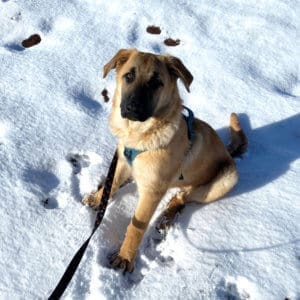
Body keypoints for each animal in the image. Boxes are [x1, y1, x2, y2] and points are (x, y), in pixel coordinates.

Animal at [82, 48, 248, 272]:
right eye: (129, 76)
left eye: (156, 82)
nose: (132, 107)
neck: (140, 135)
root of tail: (228, 152)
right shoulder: (122, 163)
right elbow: (113, 182)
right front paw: (99, 198)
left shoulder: (152, 191)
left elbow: (136, 226)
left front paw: (125, 257)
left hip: (227, 178)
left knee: (181, 198)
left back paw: (165, 218)